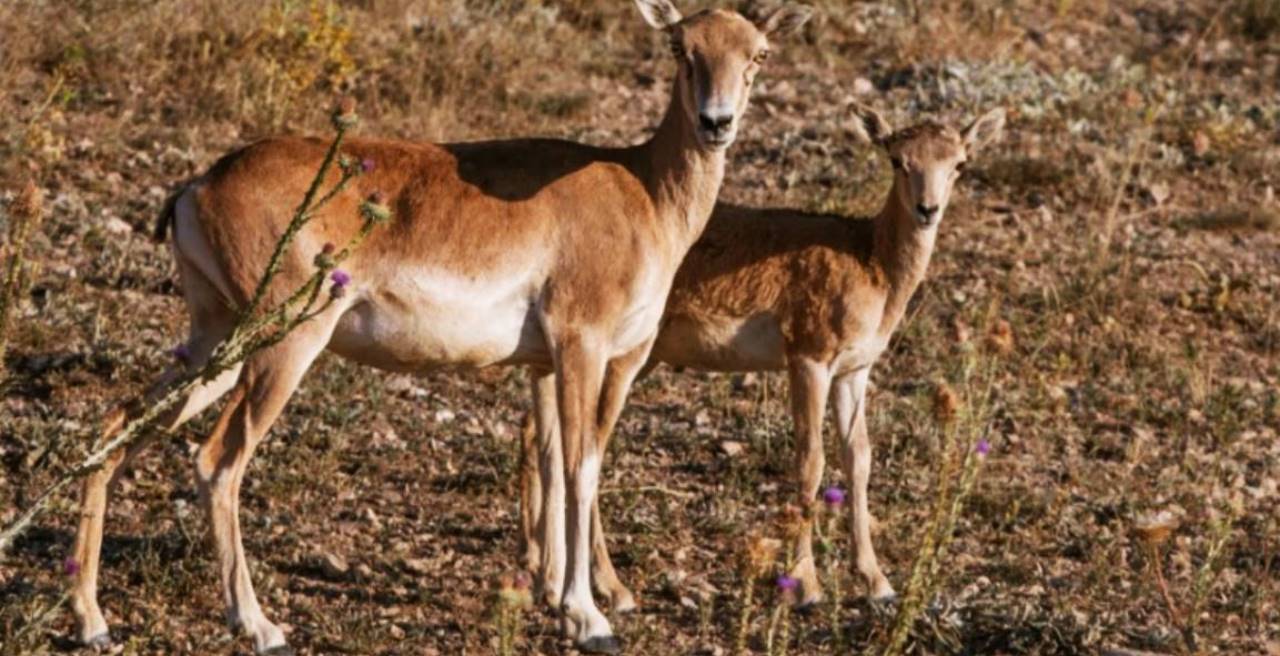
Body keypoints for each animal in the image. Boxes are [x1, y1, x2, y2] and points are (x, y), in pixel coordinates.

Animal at [67, 2, 808, 653]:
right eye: (682, 48)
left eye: (759, 52)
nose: (717, 122)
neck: (640, 188)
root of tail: (201, 184)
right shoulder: (585, 350)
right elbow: (581, 467)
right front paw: (589, 618)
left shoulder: (545, 367)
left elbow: (550, 465)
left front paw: (557, 599)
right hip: (280, 348)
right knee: (217, 461)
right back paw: (261, 628)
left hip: (215, 345)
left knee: (115, 426)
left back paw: (92, 621)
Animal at [519, 101, 998, 609]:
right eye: (897, 159)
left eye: (959, 163)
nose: (928, 209)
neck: (871, 261)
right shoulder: (808, 359)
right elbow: (811, 459)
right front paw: (806, 585)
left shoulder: (855, 370)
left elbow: (860, 458)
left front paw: (877, 582)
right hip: (624, 357)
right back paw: (606, 586)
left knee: (536, 430)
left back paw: (535, 560)